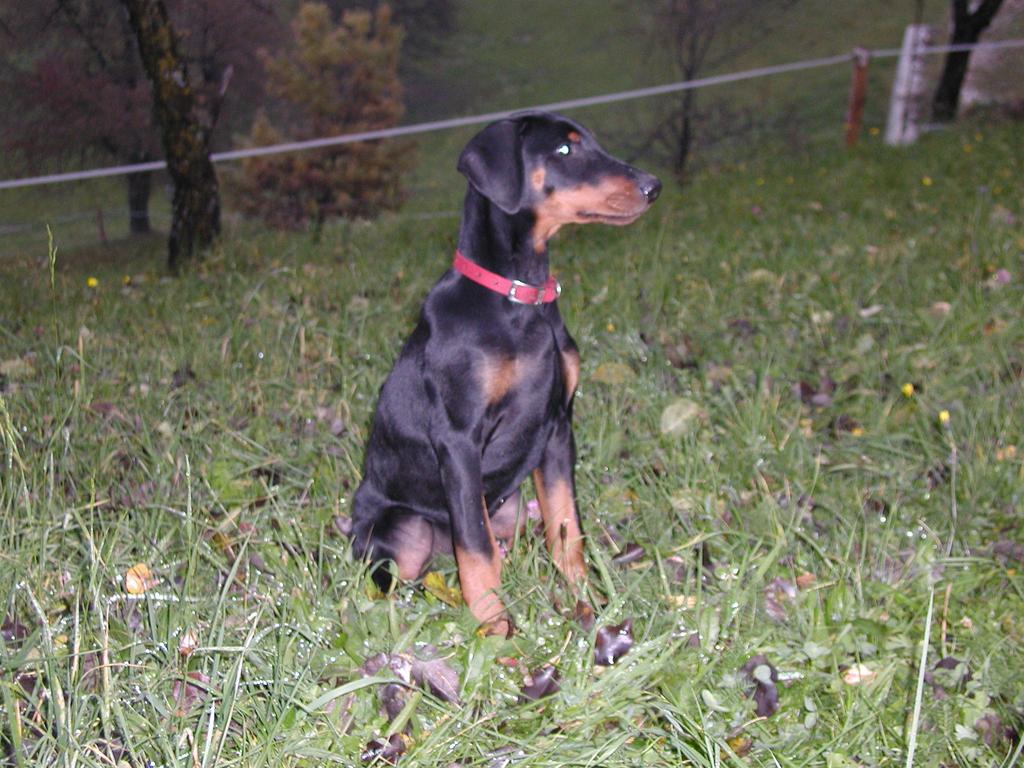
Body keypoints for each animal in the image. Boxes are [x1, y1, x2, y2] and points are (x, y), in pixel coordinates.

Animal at [350, 111, 660, 636]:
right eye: (564, 150)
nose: (653, 186)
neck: (519, 298)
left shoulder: (557, 426)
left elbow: (566, 527)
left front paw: (584, 602)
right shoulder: (459, 440)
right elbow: (475, 548)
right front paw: (496, 629)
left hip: (511, 506)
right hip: (406, 532)